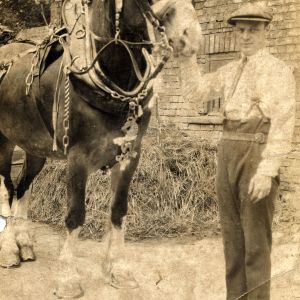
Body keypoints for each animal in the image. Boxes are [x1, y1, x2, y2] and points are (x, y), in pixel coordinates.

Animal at [0, 0, 202, 296]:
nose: (191, 34)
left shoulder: (129, 155)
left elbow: (118, 211)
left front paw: (117, 269)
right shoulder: (77, 158)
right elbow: (75, 216)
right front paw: (68, 279)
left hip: (34, 148)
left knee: (23, 187)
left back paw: (23, 243)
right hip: (4, 142)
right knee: (6, 188)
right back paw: (8, 250)